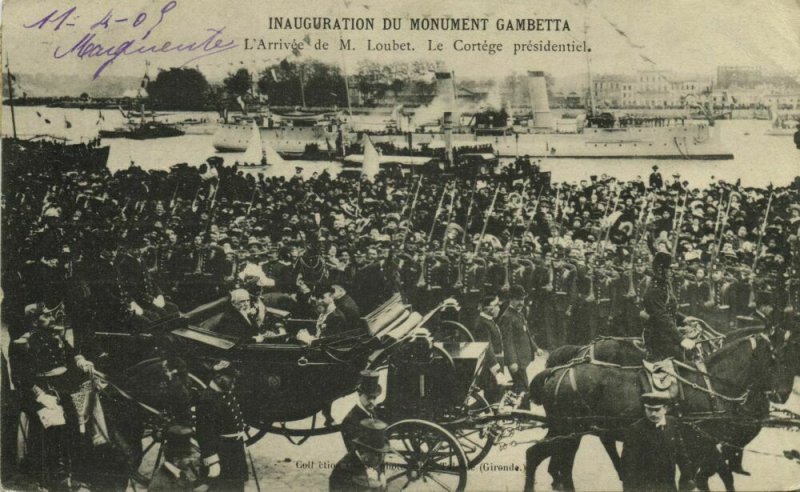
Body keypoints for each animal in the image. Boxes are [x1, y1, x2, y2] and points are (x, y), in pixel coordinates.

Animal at [524, 326, 800, 492]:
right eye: (778, 357)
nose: (783, 394)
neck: (709, 385)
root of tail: (556, 371)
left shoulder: (704, 443)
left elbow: (715, 474)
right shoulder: (700, 441)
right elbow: (702, 476)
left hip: (568, 432)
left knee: (554, 461)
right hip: (568, 430)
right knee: (541, 457)